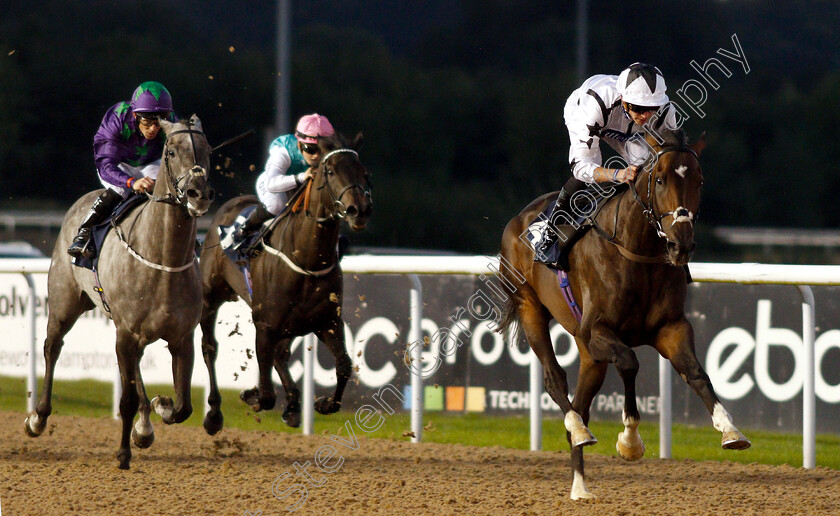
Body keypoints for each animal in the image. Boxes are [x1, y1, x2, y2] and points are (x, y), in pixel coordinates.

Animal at [24, 117, 215, 472]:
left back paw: (145, 424)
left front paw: (160, 406)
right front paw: (124, 453)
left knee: (136, 370)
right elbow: (126, 399)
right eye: (171, 151)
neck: (163, 260)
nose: (199, 193)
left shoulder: (180, 337)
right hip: (64, 304)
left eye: (208, 149)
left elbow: (183, 406)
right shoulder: (126, 333)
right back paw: (38, 418)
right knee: (52, 348)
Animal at [200, 131, 370, 434]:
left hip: (291, 323)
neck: (307, 260)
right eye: (330, 170)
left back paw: (292, 406)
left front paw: (323, 403)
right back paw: (214, 414)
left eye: (363, 171)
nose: (358, 210)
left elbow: (343, 365)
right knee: (209, 348)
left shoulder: (327, 321)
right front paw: (253, 395)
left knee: (282, 355)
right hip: (211, 294)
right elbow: (267, 394)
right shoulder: (265, 324)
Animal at [496, 128, 752, 500]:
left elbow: (697, 373)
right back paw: (579, 431)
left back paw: (580, 485)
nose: (681, 245)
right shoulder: (597, 331)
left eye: (700, 180)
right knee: (555, 379)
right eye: (659, 179)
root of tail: (519, 219)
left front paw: (730, 430)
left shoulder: (670, 328)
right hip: (531, 307)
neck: (637, 252)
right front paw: (630, 441)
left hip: (589, 353)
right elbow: (630, 362)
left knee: (582, 401)